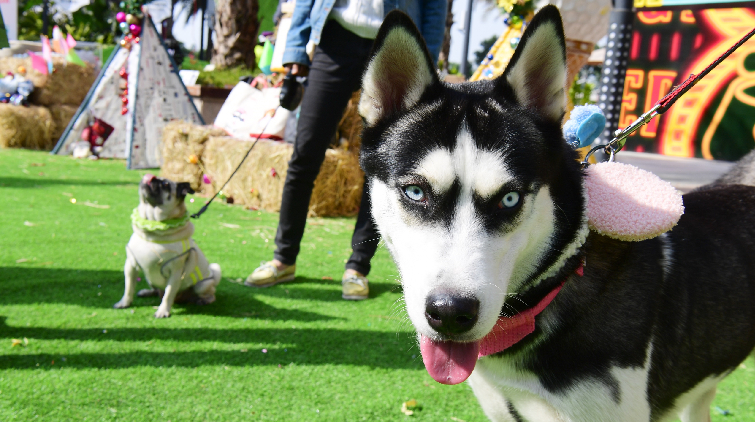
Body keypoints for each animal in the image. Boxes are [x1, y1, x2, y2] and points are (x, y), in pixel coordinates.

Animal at [114, 174, 221, 318]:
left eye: (165, 184)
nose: (152, 177)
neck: (153, 228)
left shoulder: (175, 273)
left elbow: (168, 294)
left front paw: (163, 311)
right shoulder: (130, 266)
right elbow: (129, 287)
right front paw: (124, 303)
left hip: (203, 284)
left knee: (209, 294)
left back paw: (203, 300)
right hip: (150, 279)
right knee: (156, 290)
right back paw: (147, 292)